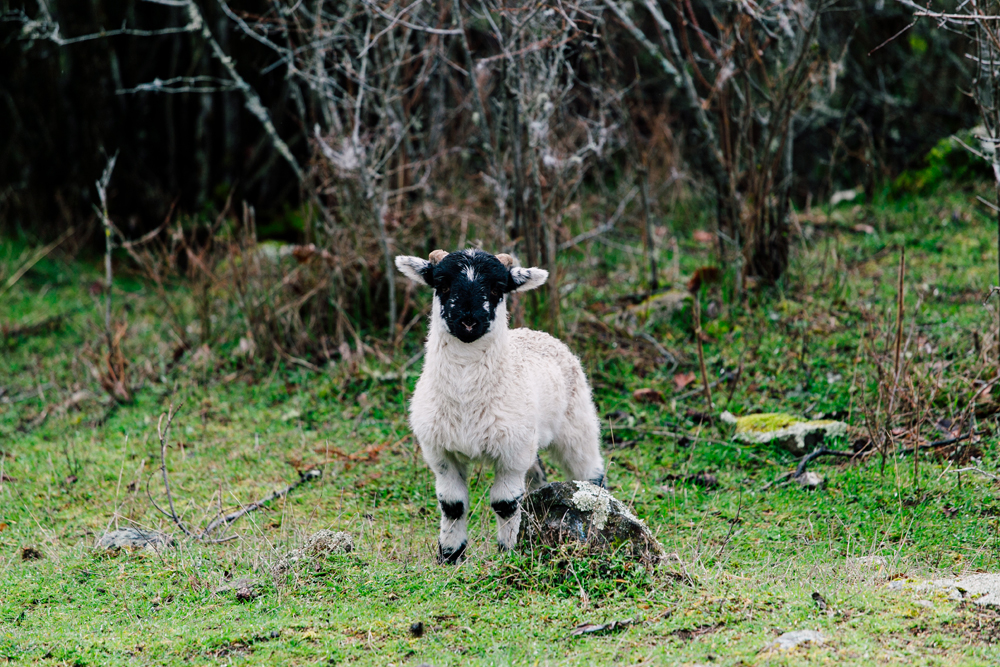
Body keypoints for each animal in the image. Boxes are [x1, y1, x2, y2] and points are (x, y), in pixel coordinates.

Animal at [394, 249, 604, 564]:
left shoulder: (511, 454)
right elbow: (452, 505)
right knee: (536, 479)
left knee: (590, 472)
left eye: (498, 287)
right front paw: (450, 556)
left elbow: (505, 504)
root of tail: (536, 332)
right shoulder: (441, 453)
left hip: (576, 421)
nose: (468, 321)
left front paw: (508, 553)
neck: (466, 397)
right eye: (441, 283)